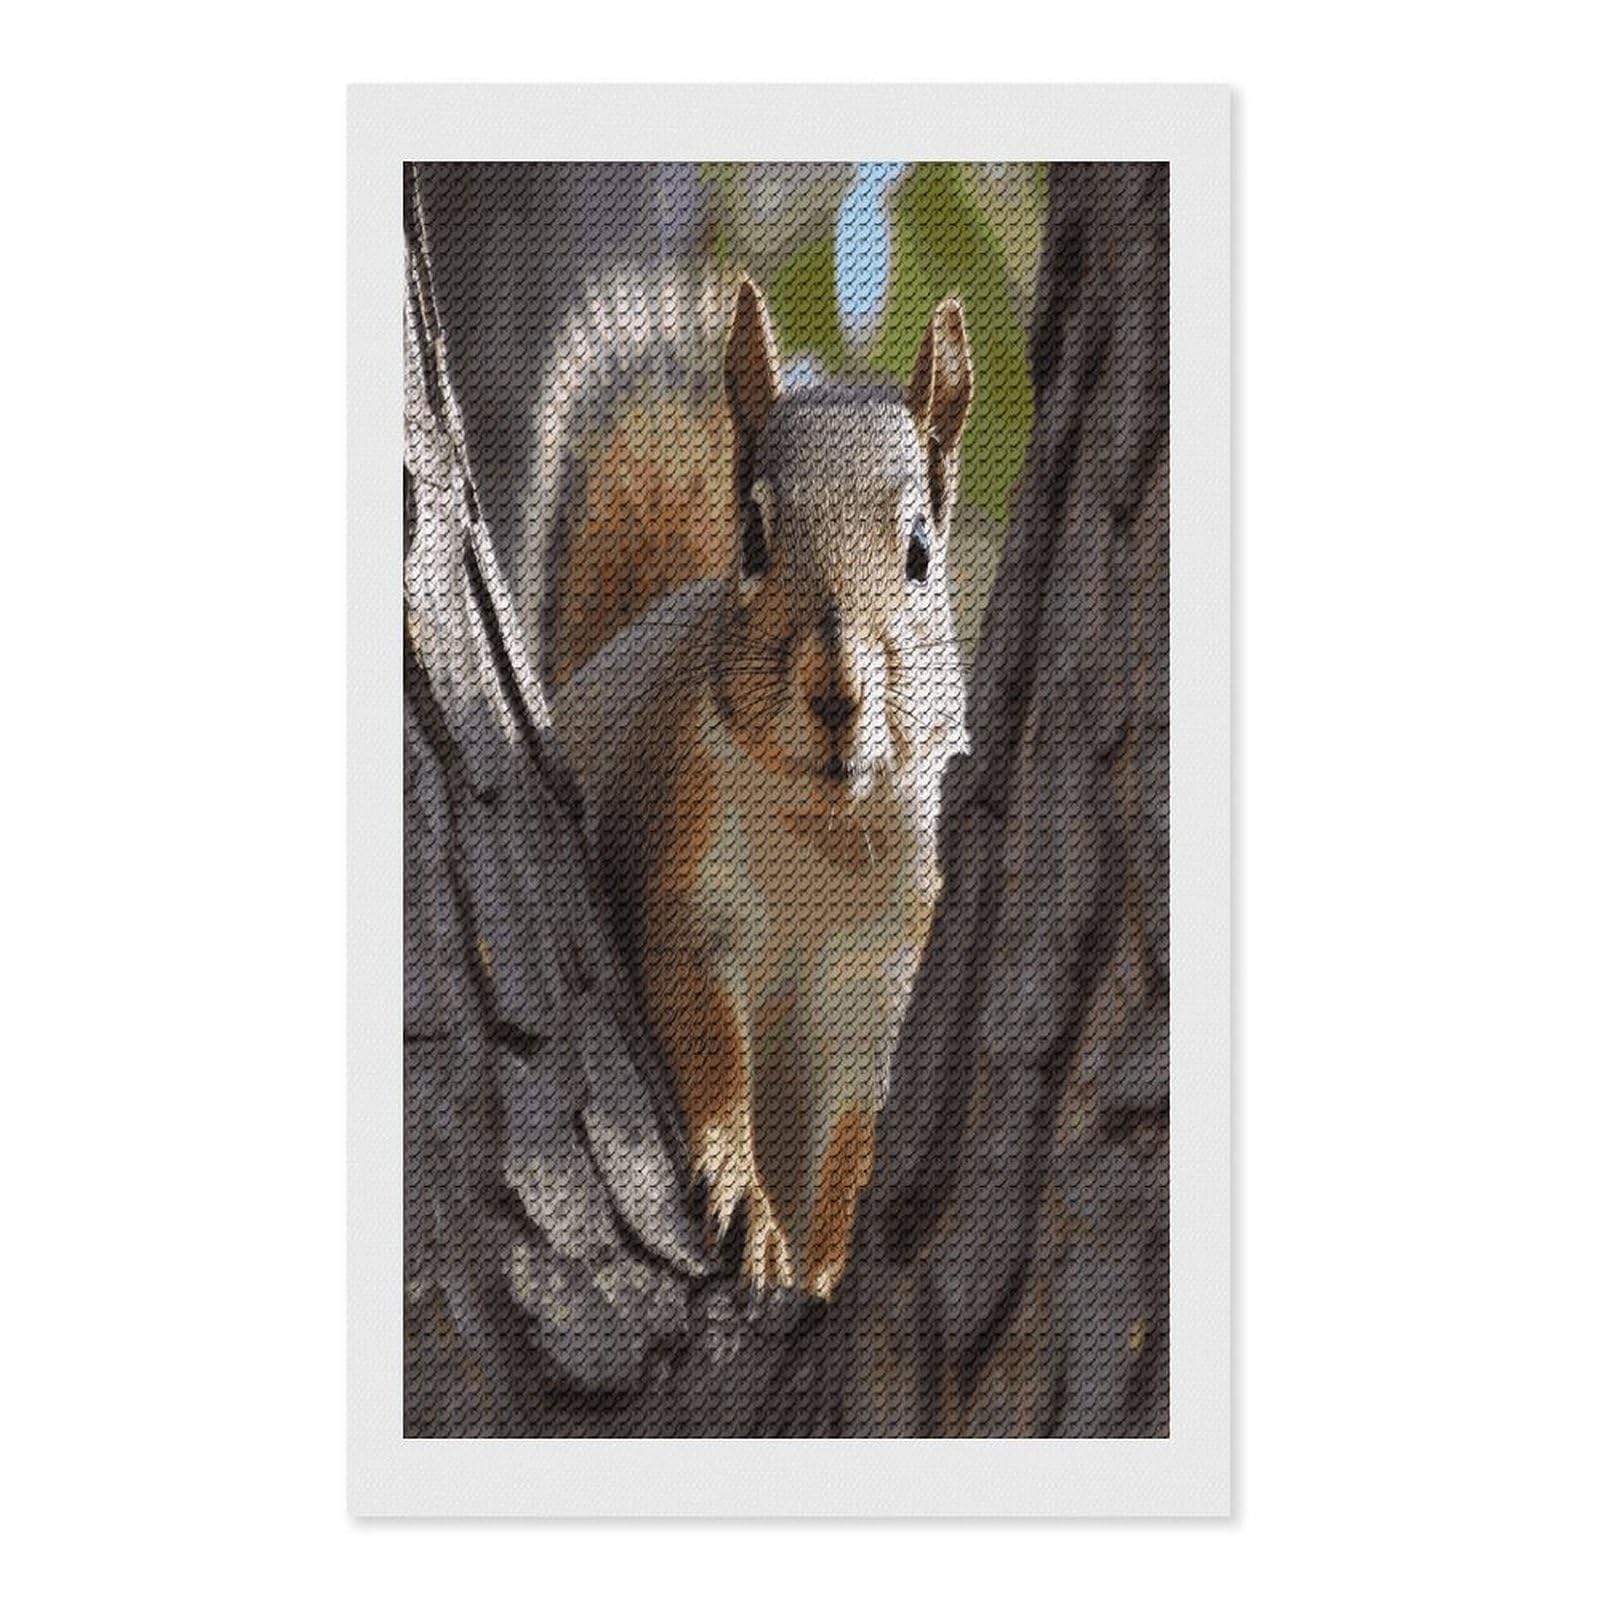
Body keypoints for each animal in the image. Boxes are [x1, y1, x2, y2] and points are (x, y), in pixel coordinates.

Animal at [551, 275, 973, 1297]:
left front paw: (827, 1263)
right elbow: (706, 1039)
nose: (836, 689)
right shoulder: (691, 893)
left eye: (920, 552)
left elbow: (856, 1143)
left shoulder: (881, 973)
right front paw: (744, 1195)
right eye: (751, 536)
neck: (826, 834)